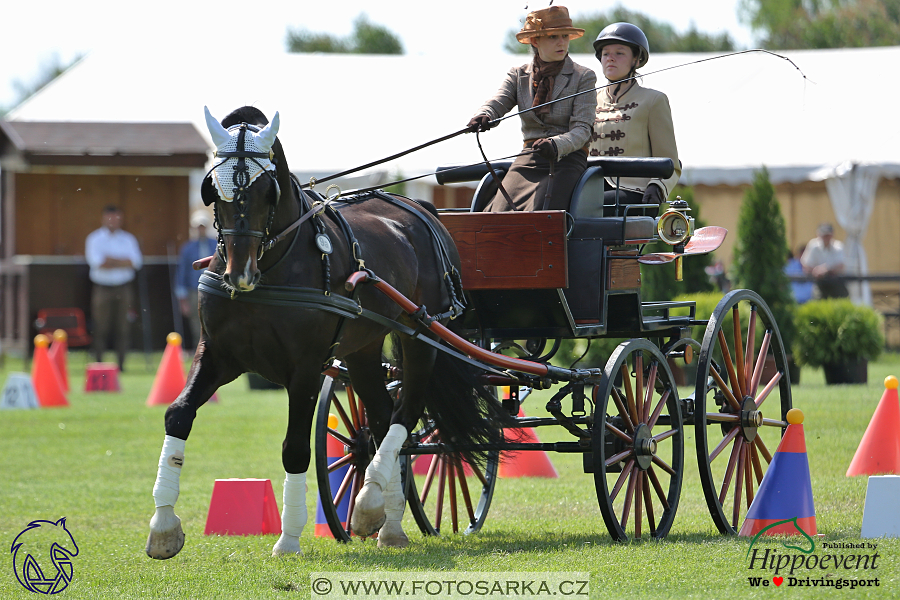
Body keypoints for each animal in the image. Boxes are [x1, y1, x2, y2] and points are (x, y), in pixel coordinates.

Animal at [145, 106, 506, 556]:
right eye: (215, 188)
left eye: (267, 190)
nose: (239, 273)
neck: (272, 270)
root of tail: (421, 207)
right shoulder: (217, 355)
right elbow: (178, 414)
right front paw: (163, 526)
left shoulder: (305, 368)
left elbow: (295, 448)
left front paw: (288, 539)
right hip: (363, 349)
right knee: (383, 418)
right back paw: (388, 522)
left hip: (423, 336)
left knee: (407, 414)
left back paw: (368, 505)